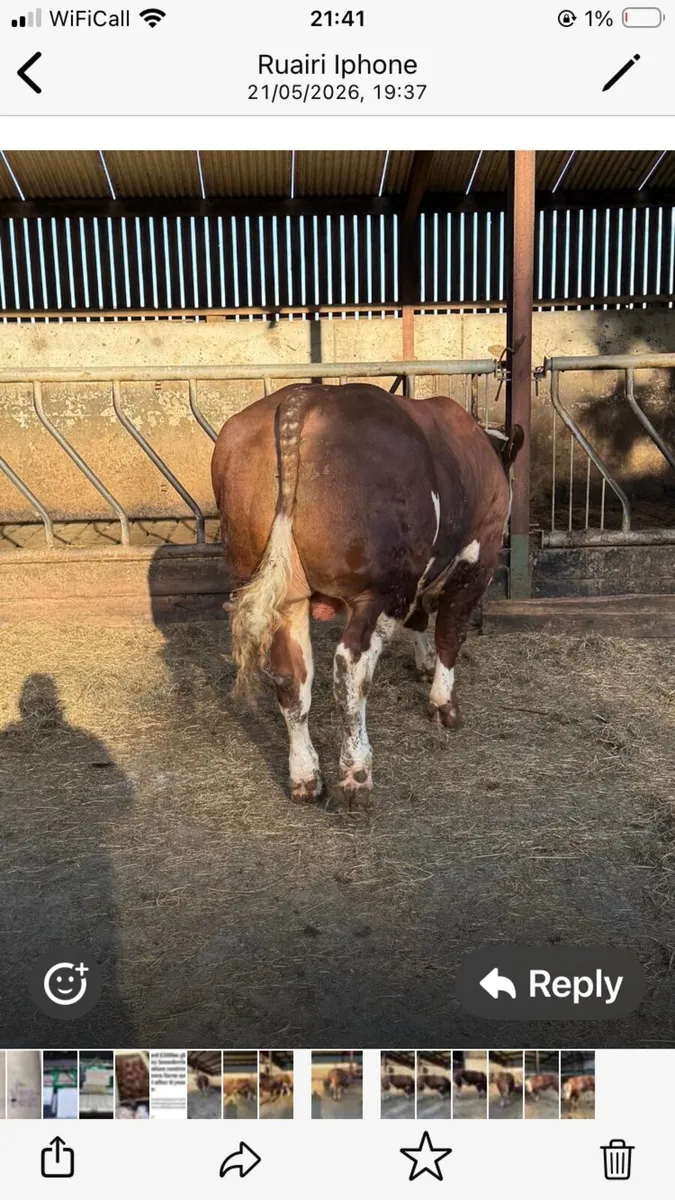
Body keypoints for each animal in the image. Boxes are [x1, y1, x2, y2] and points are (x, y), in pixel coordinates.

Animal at [212, 383, 523, 808]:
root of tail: (303, 398)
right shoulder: (476, 558)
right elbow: (450, 633)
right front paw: (444, 705)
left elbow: (420, 621)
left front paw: (423, 664)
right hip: (380, 590)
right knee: (350, 667)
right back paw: (356, 774)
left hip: (283, 592)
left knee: (291, 677)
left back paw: (306, 777)